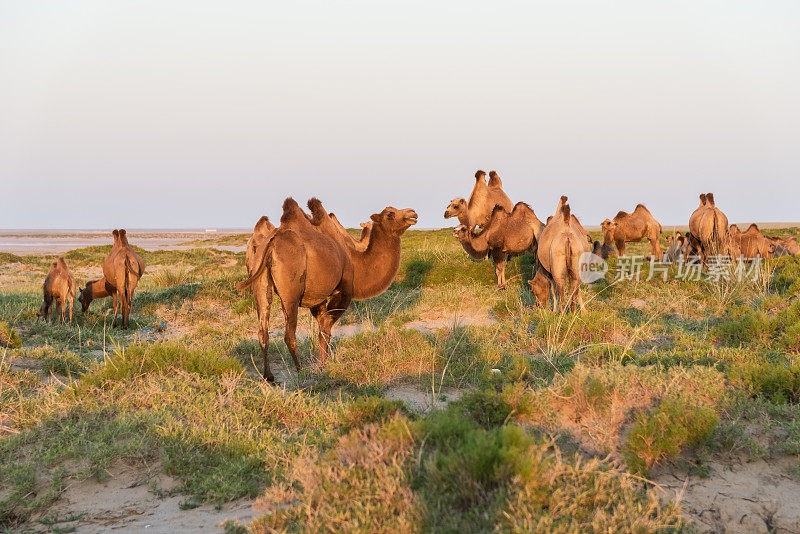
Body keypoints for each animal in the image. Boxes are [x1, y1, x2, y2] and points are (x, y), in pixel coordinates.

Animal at [239, 200, 418, 382]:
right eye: (390, 214)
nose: (412, 213)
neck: (355, 261)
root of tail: (271, 244)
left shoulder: (319, 298)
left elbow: (321, 330)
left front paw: (323, 362)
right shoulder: (343, 291)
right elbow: (326, 330)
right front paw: (323, 366)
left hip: (259, 279)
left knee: (263, 330)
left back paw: (269, 376)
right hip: (291, 290)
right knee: (289, 333)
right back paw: (301, 370)